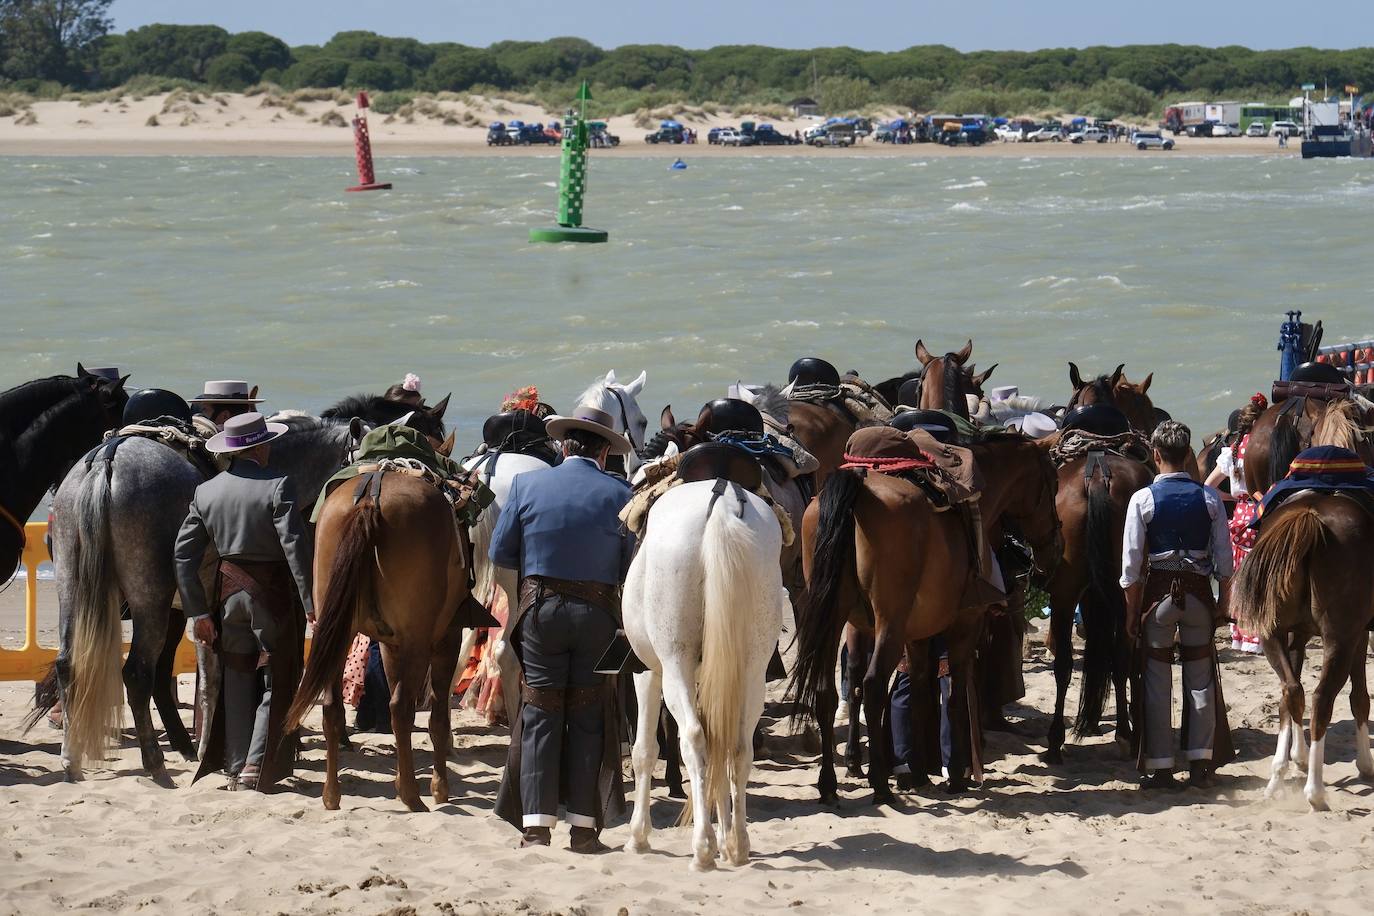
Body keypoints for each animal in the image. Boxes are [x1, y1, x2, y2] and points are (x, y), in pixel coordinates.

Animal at [41, 395, 445, 780]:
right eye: (374, 457)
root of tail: (108, 458)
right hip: (150, 598)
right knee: (138, 673)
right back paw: (156, 763)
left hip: (74, 586)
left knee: (70, 664)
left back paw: (78, 758)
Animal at [281, 469, 469, 813]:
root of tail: (370, 497)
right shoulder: (446, 638)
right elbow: (437, 717)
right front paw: (438, 787)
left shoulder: (390, 644)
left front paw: (399, 779)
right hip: (417, 641)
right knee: (401, 707)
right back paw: (412, 797)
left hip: (338, 633)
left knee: (332, 707)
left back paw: (332, 794)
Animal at [623, 477, 785, 873]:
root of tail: (722, 506)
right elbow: (720, 745)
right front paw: (727, 838)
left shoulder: (646, 671)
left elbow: (644, 750)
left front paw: (638, 836)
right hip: (752, 671)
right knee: (737, 747)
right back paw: (738, 845)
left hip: (675, 665)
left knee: (694, 739)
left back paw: (703, 848)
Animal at [785, 436, 1060, 802]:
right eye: (1054, 483)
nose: (1055, 546)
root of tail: (858, 483)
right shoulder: (964, 625)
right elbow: (954, 696)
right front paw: (955, 774)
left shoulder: (915, 635)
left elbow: (916, 693)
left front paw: (916, 773)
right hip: (887, 624)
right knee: (872, 686)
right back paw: (879, 784)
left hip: (835, 619)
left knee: (828, 691)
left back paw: (830, 783)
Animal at [1236, 494, 1374, 807]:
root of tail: (1311, 513)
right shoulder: (1359, 635)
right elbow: (1360, 698)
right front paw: (1366, 763)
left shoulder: (1295, 635)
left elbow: (1288, 697)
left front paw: (1294, 757)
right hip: (1340, 637)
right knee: (1321, 699)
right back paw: (1315, 790)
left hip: (1271, 633)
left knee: (1292, 690)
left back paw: (1280, 776)